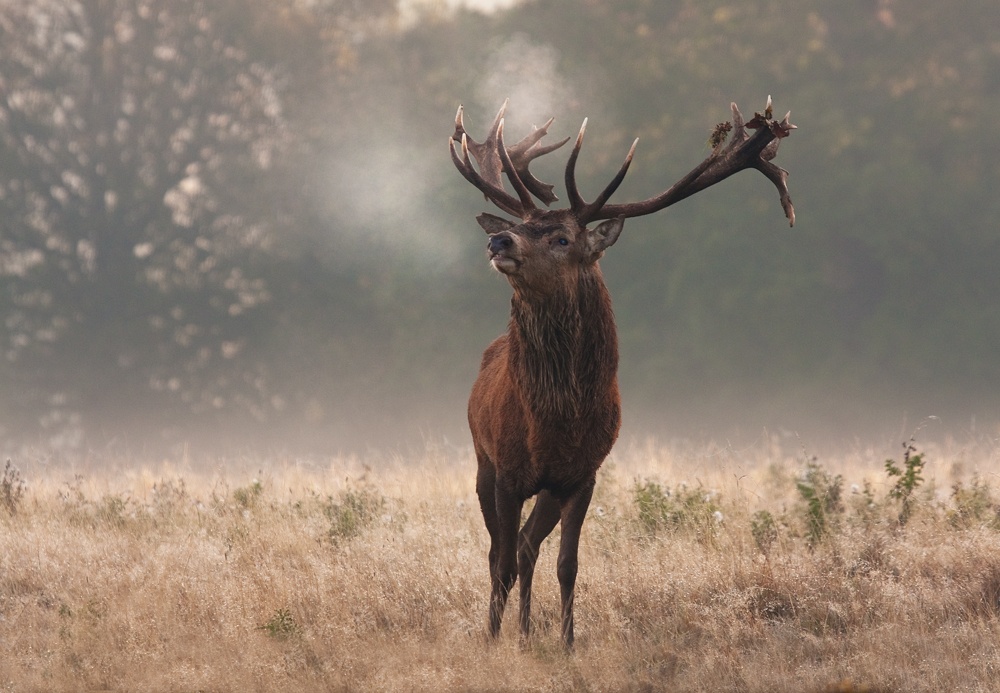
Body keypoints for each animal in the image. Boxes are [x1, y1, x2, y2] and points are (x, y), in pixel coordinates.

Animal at [452, 94, 796, 648]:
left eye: (562, 238)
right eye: (522, 227)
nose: (499, 241)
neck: (553, 422)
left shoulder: (582, 474)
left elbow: (567, 564)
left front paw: (567, 644)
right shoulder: (505, 469)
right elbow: (498, 563)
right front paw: (491, 641)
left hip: (549, 488)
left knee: (527, 545)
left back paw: (526, 634)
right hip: (481, 461)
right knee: (502, 553)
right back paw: (512, 632)